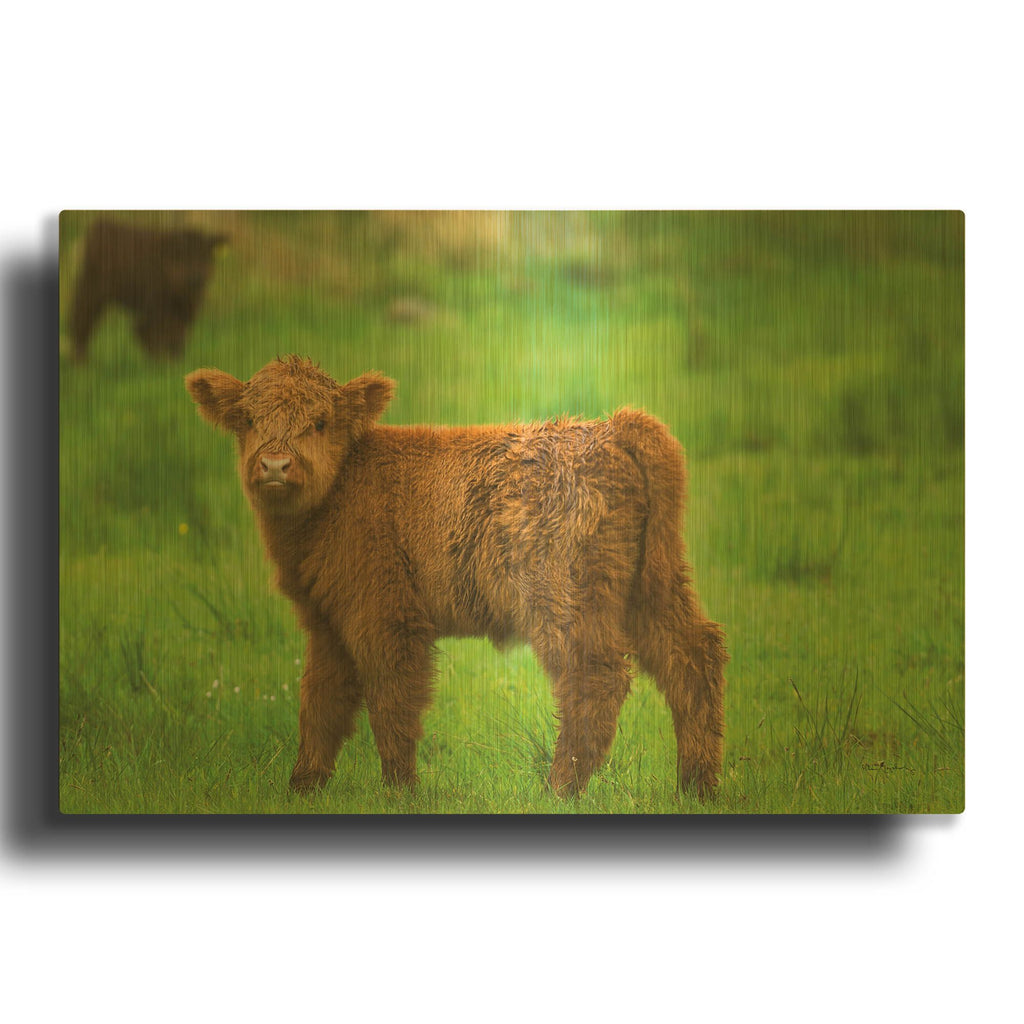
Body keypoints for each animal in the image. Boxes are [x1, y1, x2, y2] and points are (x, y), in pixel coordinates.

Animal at [70, 219, 227, 361]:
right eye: (182, 256)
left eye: (205, 256)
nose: (196, 278)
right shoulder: (155, 304)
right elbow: (152, 330)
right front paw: (159, 361)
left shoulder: (187, 306)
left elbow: (180, 330)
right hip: (92, 289)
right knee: (81, 317)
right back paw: (80, 361)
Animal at [185, 356, 727, 799]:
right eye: (248, 420)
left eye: (319, 422)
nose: (275, 464)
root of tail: (610, 428)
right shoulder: (327, 623)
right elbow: (320, 702)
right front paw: (302, 785)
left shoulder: (386, 616)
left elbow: (392, 701)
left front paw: (400, 790)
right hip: (651, 587)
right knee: (692, 657)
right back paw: (695, 787)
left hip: (564, 598)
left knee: (596, 677)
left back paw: (559, 789)